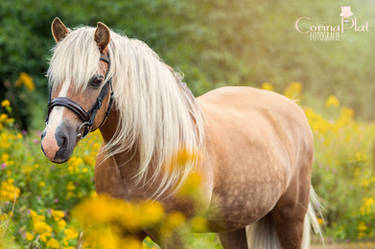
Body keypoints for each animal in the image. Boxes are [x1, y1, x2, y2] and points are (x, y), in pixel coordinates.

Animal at [41, 17, 324, 249]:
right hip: (232, 224)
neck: (145, 159)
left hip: (290, 217)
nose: (53, 142)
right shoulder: (124, 232)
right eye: (52, 78)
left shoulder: (175, 236)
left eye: (96, 80)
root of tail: (293, 107)